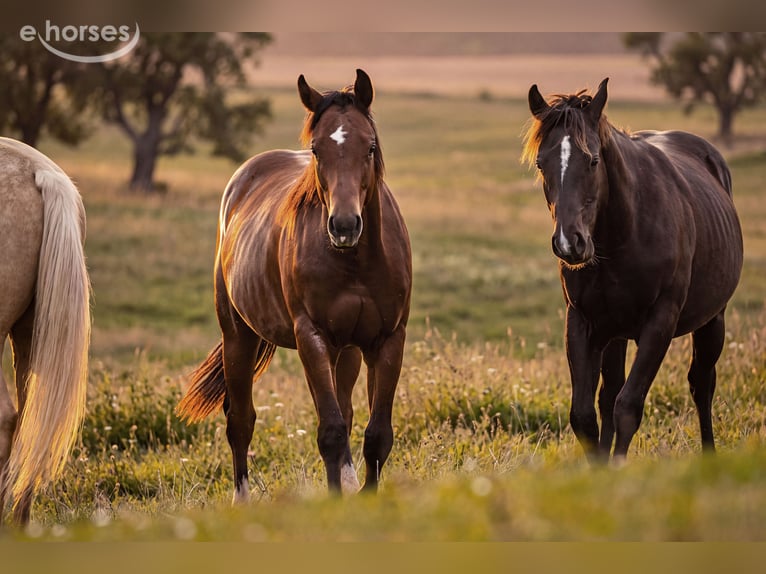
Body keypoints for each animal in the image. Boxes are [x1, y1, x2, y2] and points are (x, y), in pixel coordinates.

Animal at [177, 69, 412, 502]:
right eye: (317, 150)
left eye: (370, 147)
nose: (344, 225)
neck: (356, 262)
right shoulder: (312, 338)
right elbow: (331, 432)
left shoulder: (388, 340)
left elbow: (376, 434)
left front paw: (365, 495)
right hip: (239, 336)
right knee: (241, 421)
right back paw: (241, 499)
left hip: (347, 351)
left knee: (346, 410)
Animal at [522, 78, 743, 462]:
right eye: (540, 163)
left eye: (593, 160)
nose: (569, 243)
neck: (624, 234)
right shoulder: (582, 322)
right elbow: (585, 414)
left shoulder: (660, 322)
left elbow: (628, 406)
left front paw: (617, 467)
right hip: (615, 332)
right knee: (608, 394)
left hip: (713, 320)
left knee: (702, 385)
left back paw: (708, 453)